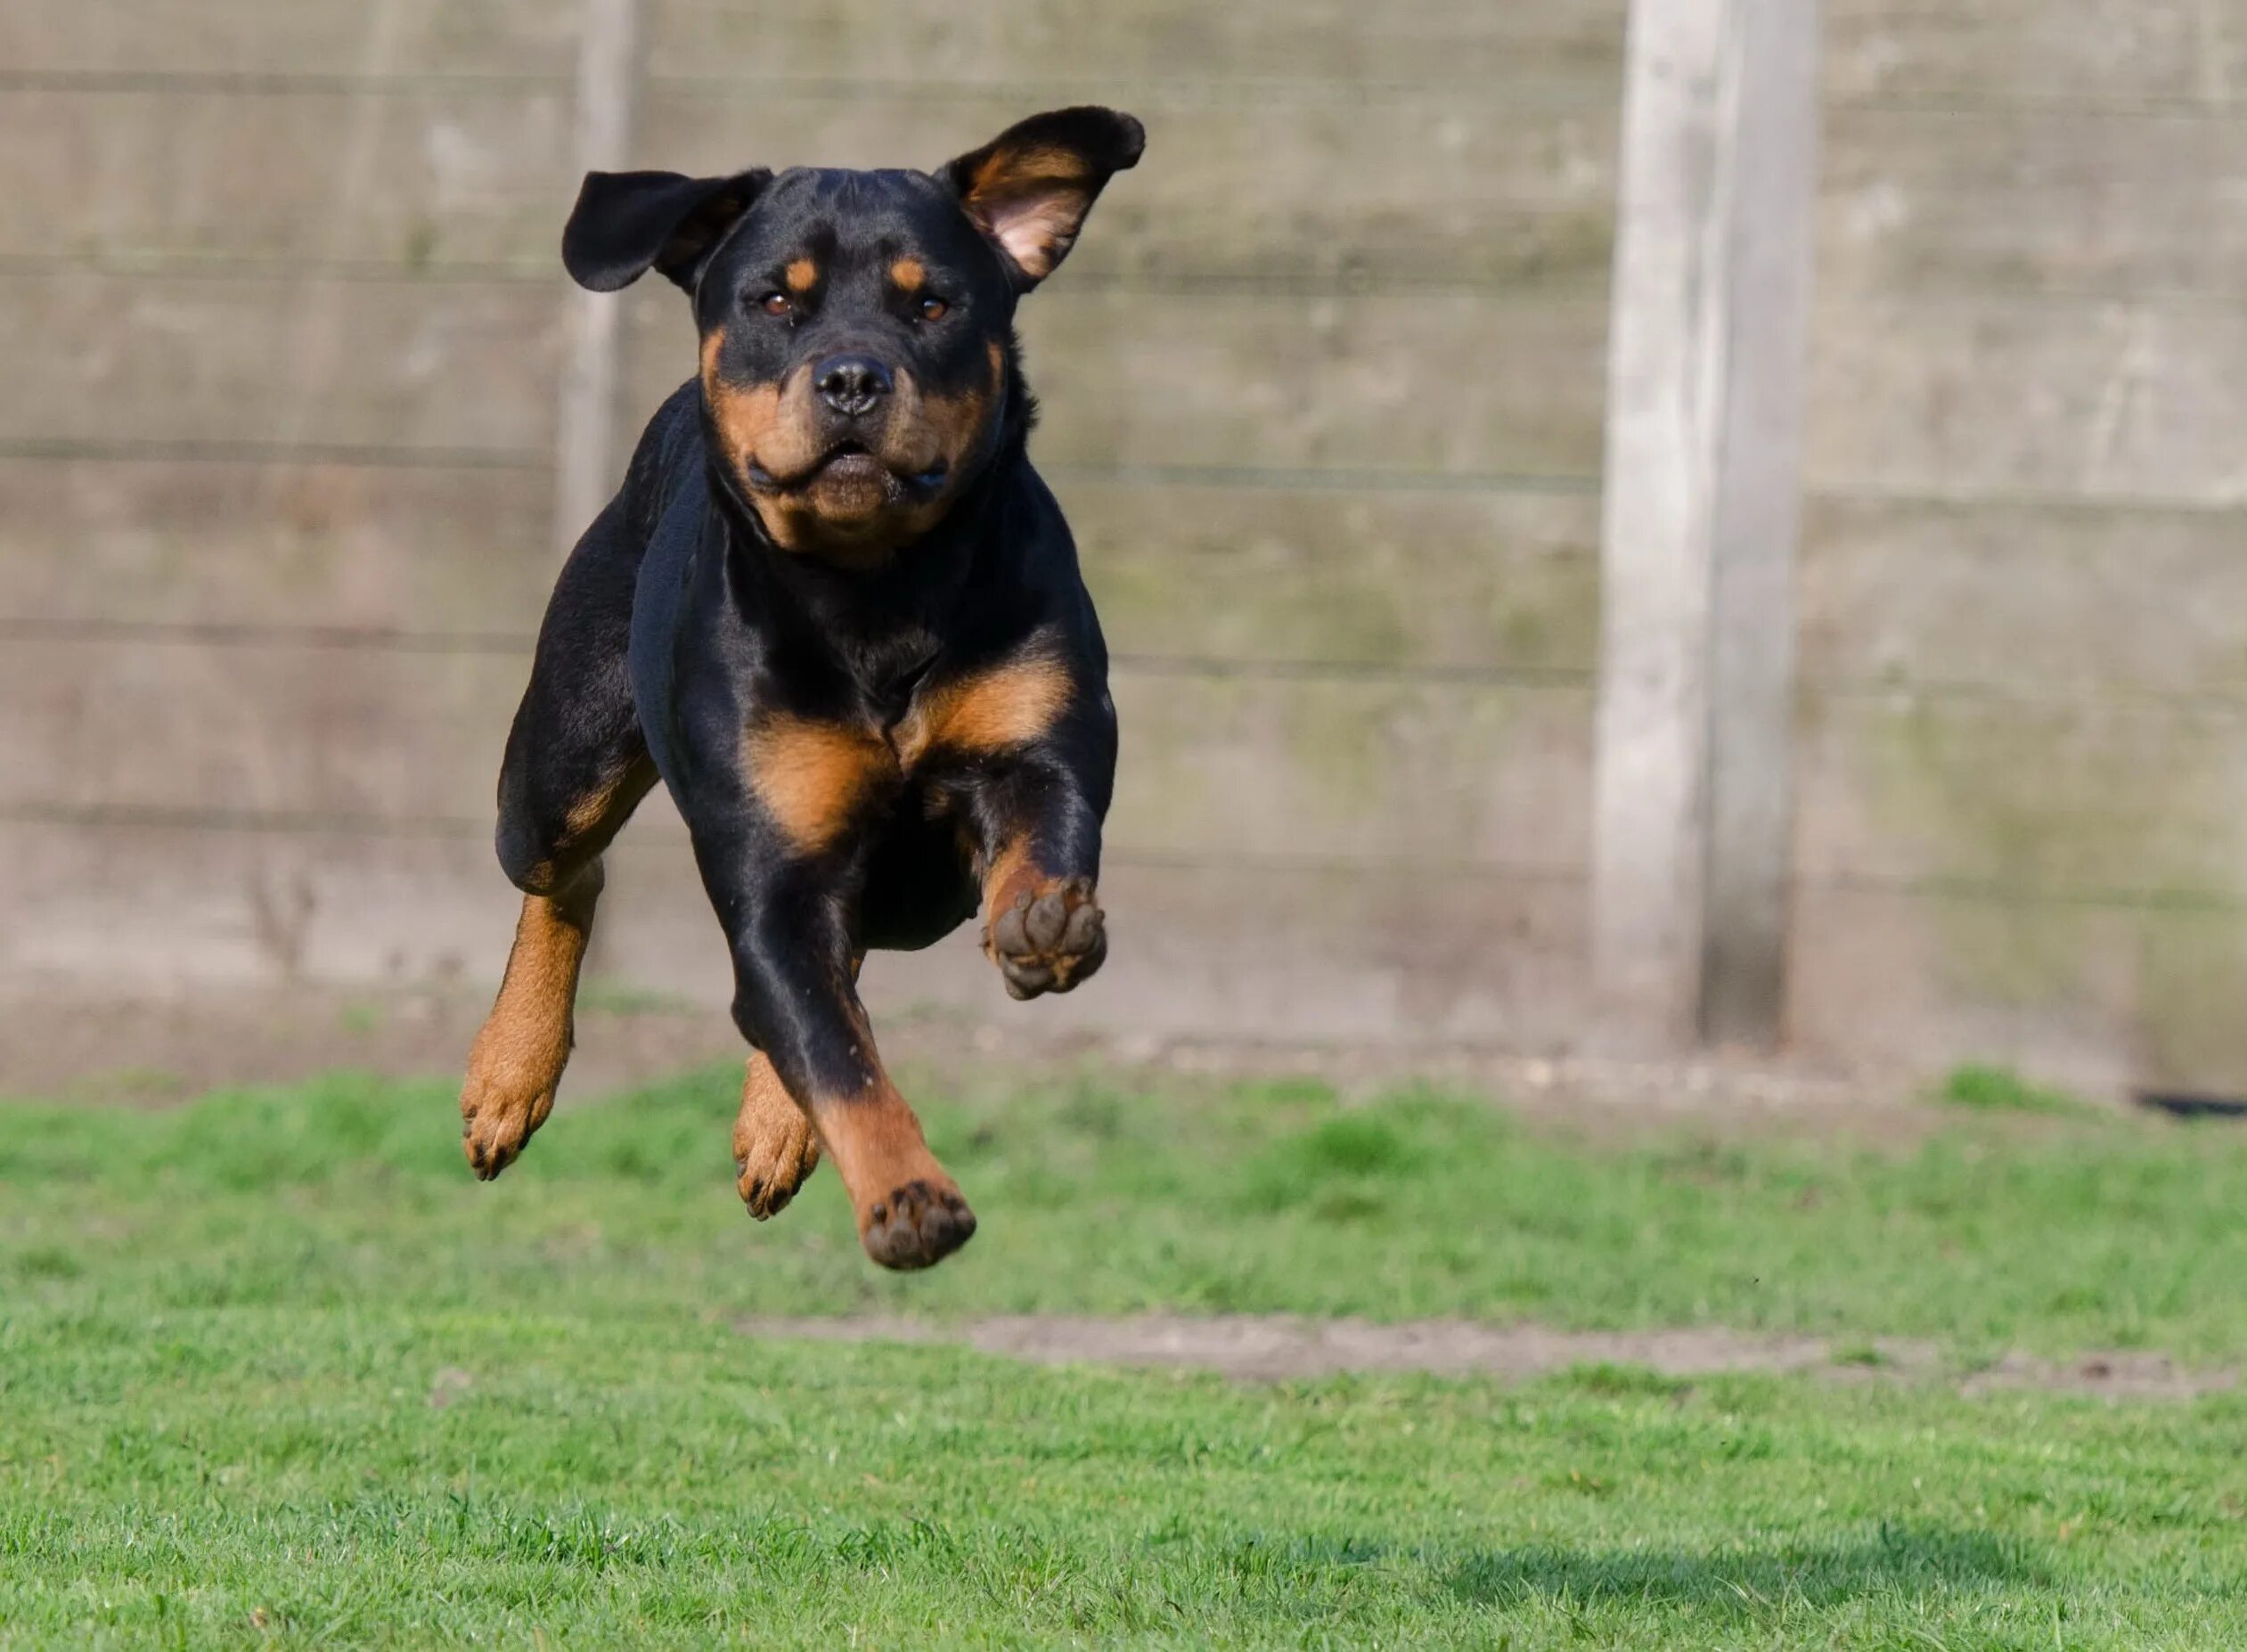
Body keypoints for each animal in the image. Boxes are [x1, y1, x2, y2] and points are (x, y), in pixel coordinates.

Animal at [462, 110, 1150, 1276]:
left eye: (932, 303)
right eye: (775, 301)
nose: (853, 377)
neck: (874, 589)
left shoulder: (1040, 737)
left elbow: (1041, 831)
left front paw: (1042, 918)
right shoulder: (771, 855)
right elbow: (832, 1050)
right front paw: (909, 1198)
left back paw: (771, 1124)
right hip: (557, 766)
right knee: (569, 875)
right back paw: (509, 1078)